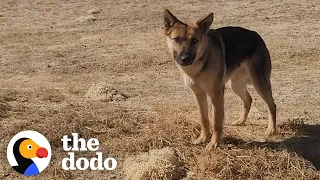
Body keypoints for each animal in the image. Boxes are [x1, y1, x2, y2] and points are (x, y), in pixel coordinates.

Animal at [164, 9, 276, 149]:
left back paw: (271, 129)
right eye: (177, 39)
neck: (201, 63)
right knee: (248, 100)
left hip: (259, 83)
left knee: (272, 105)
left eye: (195, 40)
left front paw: (214, 144)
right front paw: (202, 139)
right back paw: (241, 121)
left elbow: (216, 121)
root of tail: (256, 35)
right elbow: (203, 119)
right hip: (236, 85)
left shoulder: (216, 94)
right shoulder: (199, 94)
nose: (185, 59)